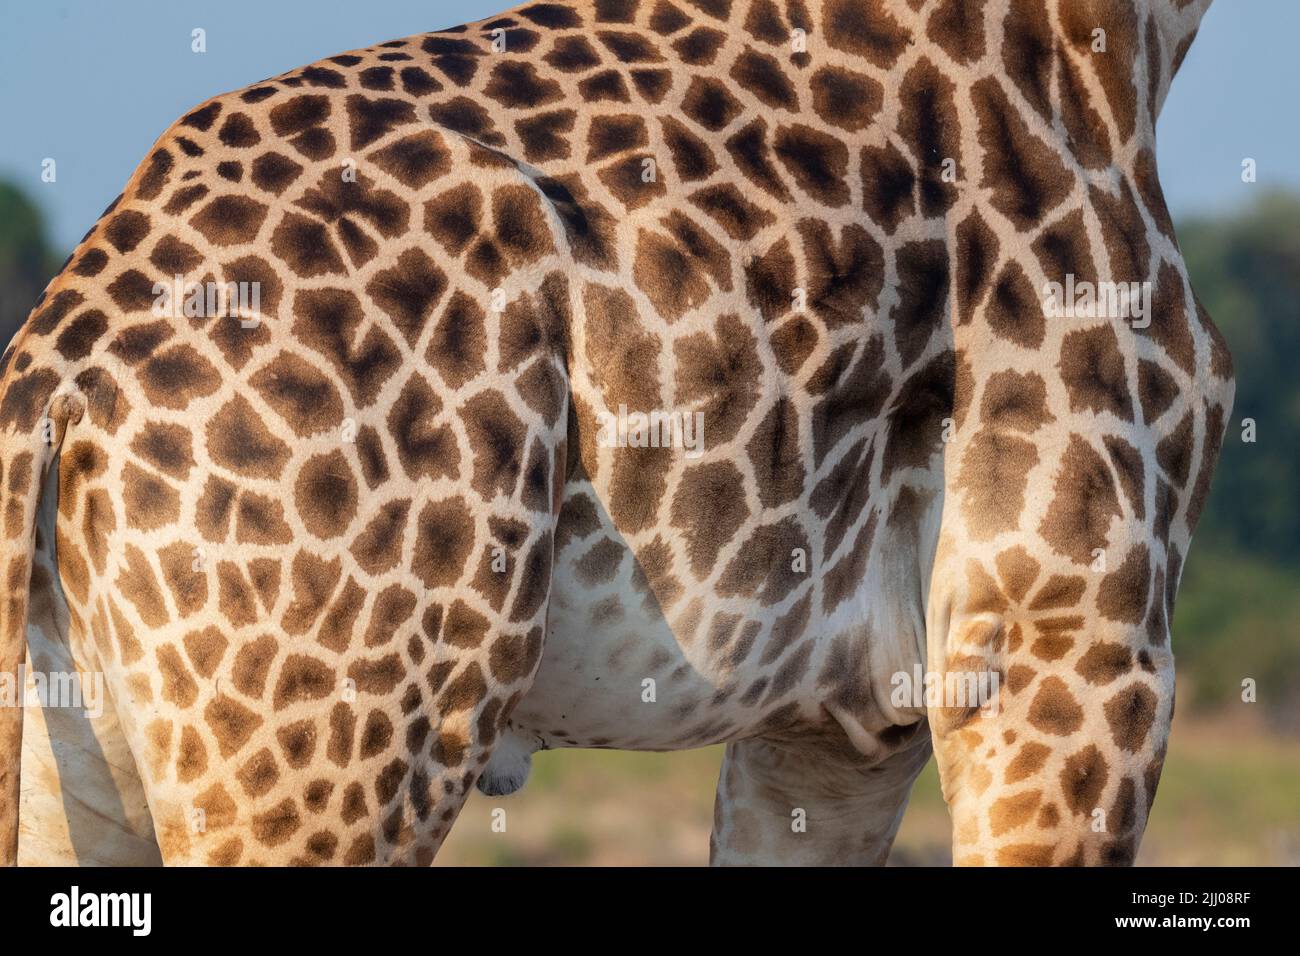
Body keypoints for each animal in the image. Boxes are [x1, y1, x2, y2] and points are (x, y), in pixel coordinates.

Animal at [0, 0, 1232, 868]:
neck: (1127, 39)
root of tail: (60, 375)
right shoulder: (1067, 642)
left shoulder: (838, 721)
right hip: (327, 764)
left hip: (82, 755)